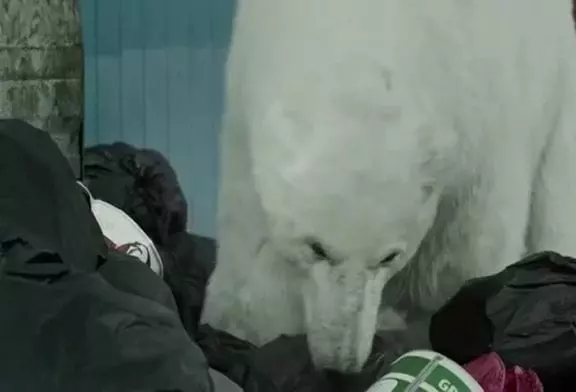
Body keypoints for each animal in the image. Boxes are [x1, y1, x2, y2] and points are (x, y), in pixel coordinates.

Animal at [204, 0, 576, 374]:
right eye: (317, 247)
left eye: (389, 256)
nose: (342, 361)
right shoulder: (244, 87)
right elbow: (251, 236)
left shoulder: (481, 124)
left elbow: (464, 253)